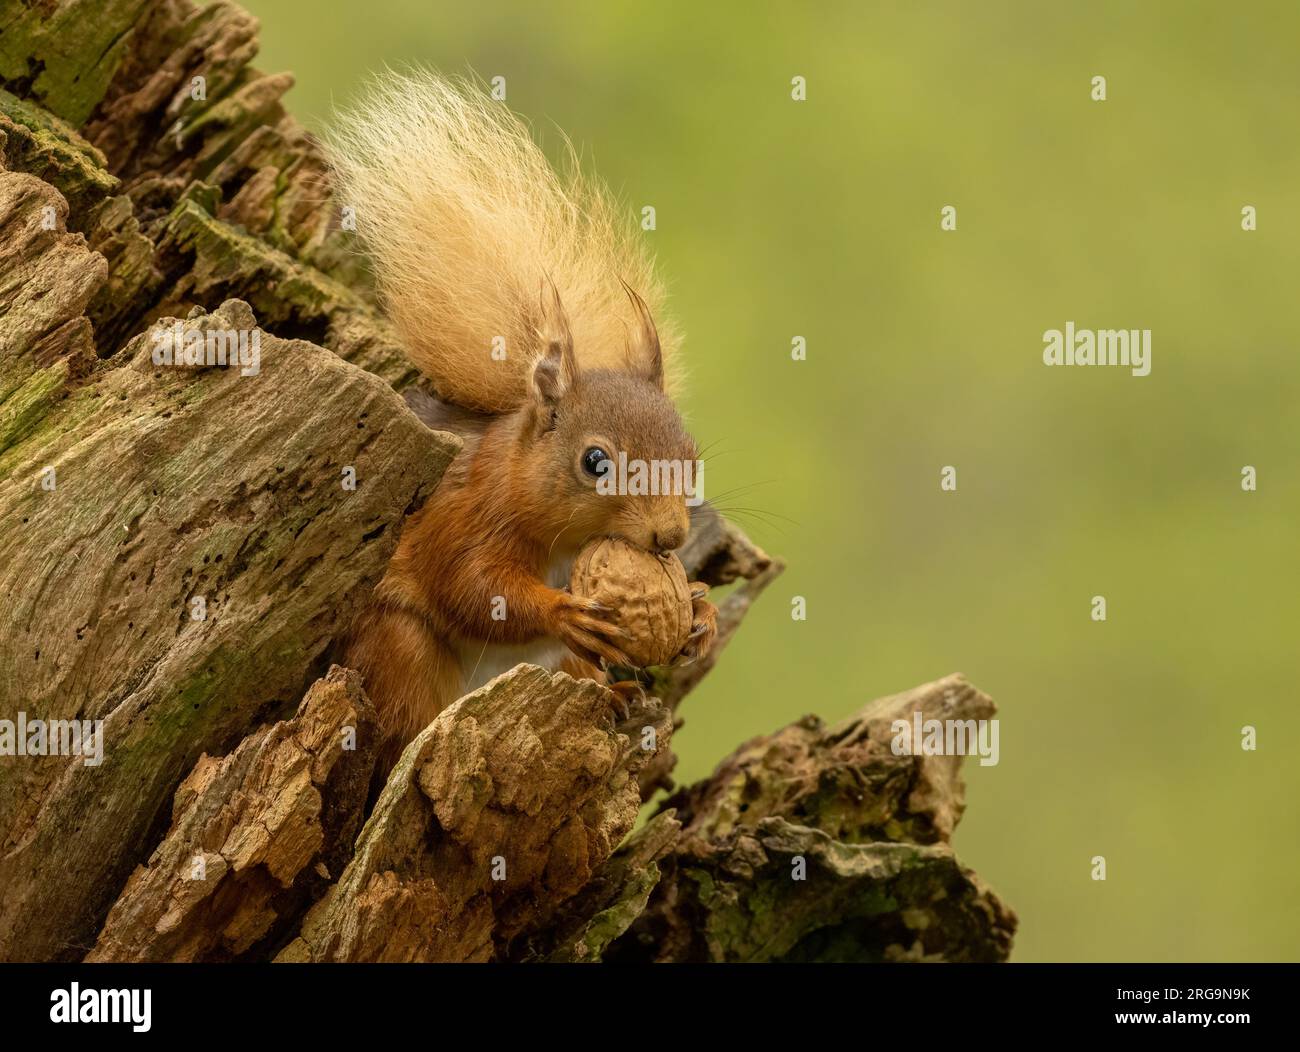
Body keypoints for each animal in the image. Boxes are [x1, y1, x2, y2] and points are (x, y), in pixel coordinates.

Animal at [325, 71, 718, 752]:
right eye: (595, 462)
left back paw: (616, 696)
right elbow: (473, 587)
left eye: (691, 460)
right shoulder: (464, 513)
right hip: (400, 643)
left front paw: (700, 608)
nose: (670, 536)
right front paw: (561, 610)